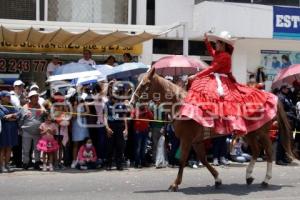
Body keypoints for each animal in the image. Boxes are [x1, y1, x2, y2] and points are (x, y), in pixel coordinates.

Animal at [130, 68, 294, 192]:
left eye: (146, 84)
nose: (131, 101)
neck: (180, 105)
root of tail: (273, 97)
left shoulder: (187, 139)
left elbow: (183, 160)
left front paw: (175, 184)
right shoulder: (196, 141)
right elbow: (203, 159)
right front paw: (217, 179)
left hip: (262, 132)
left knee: (268, 152)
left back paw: (265, 180)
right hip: (250, 133)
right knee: (255, 150)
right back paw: (249, 176)